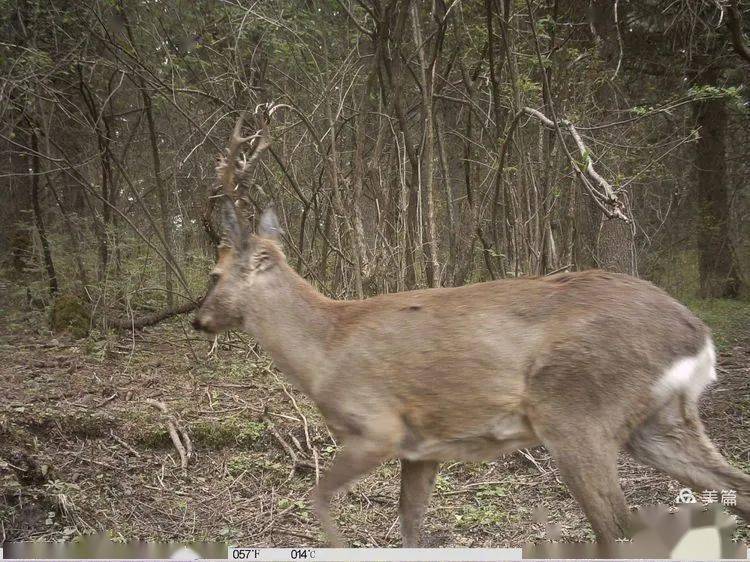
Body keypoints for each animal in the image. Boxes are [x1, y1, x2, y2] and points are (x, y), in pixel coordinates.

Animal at [192, 107, 750, 548]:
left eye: (215, 273)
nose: (199, 320)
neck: (325, 348)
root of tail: (697, 335)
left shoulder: (376, 426)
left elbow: (320, 502)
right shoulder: (421, 449)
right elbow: (411, 528)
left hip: (578, 415)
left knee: (617, 528)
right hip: (660, 420)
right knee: (734, 486)